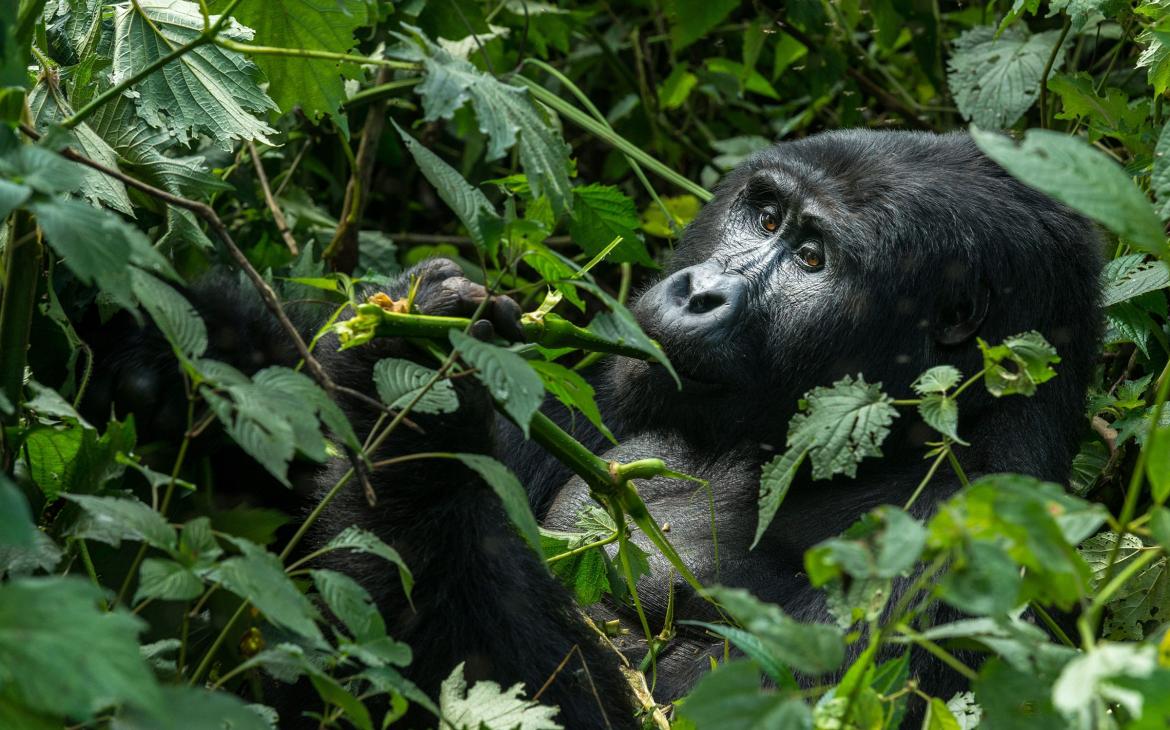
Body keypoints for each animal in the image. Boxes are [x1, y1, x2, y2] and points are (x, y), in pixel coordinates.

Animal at [86, 128, 1099, 725]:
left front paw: (423, 430)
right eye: (765, 211)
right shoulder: (610, 372)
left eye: (812, 258)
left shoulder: (955, 558)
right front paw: (165, 341)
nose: (699, 291)